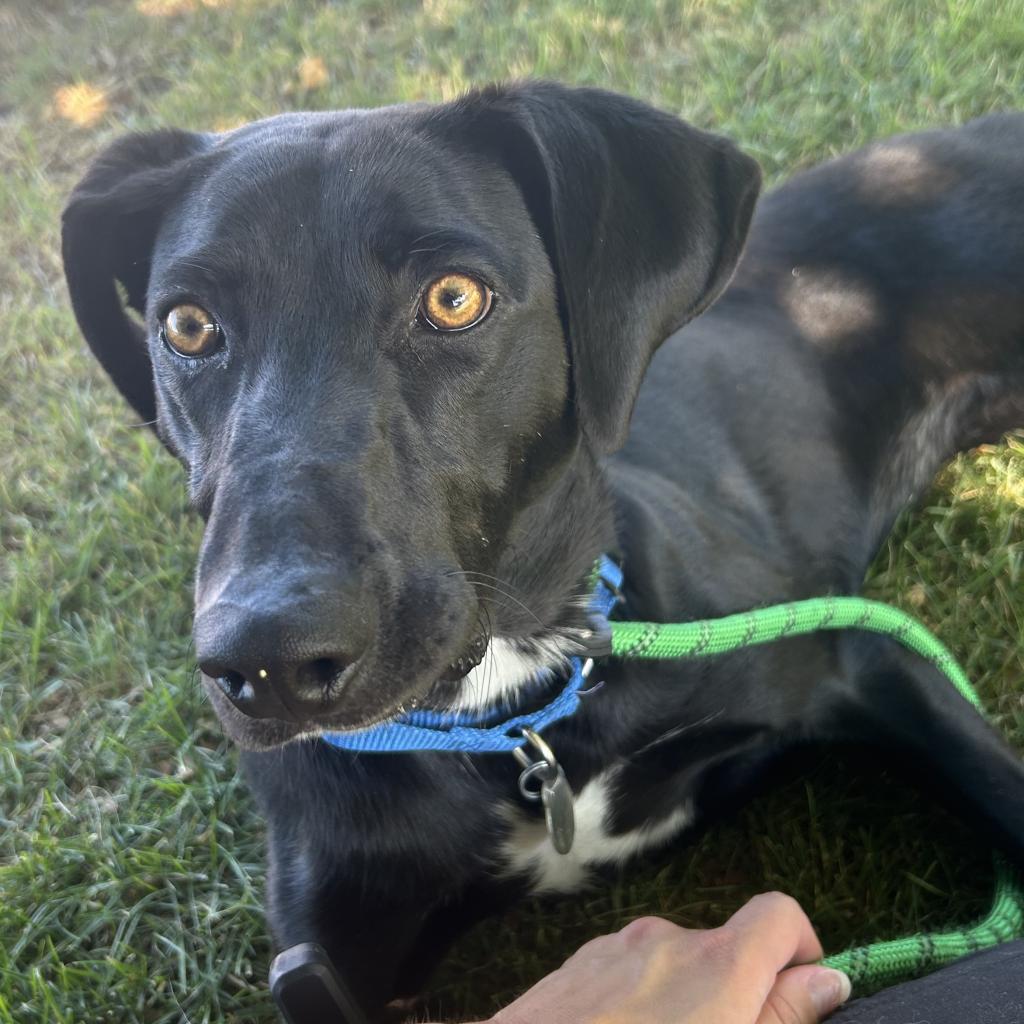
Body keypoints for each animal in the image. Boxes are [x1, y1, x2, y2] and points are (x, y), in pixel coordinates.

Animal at [59, 83, 1024, 1019]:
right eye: (187, 326)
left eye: (453, 298)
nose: (268, 663)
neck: (515, 710)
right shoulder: (326, 944)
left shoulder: (862, 653)